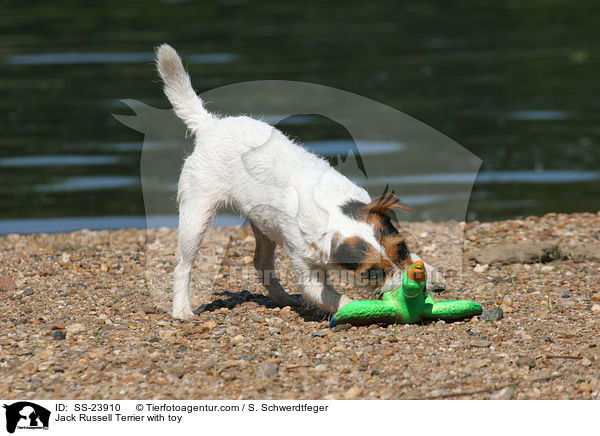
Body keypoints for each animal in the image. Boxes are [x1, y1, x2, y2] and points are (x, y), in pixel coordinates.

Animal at [156, 44, 446, 318]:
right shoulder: (306, 270)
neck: (333, 209)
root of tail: (210, 125)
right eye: (372, 273)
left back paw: (282, 298)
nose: (416, 283)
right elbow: (329, 296)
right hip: (196, 214)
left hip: (263, 222)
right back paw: (182, 310)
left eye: (402, 248)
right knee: (183, 266)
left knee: (261, 262)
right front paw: (357, 308)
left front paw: (431, 272)